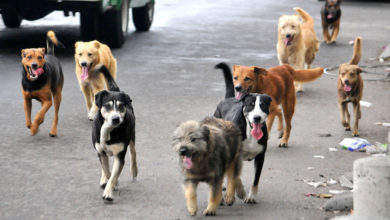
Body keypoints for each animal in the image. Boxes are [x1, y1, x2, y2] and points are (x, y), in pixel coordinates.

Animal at [90, 64, 136, 202]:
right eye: (108, 106)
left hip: (132, 137)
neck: (108, 130)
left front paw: (109, 192)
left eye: (121, 106)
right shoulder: (100, 151)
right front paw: (110, 183)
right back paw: (103, 179)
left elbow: (113, 174)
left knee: (133, 153)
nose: (116, 119)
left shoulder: (120, 155)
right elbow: (107, 171)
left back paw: (134, 171)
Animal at [213, 62, 272, 204]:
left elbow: (255, 179)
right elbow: (235, 176)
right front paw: (235, 193)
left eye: (263, 106)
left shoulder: (260, 157)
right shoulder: (234, 154)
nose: (257, 118)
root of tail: (228, 98)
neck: (250, 133)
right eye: (251, 105)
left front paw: (251, 196)